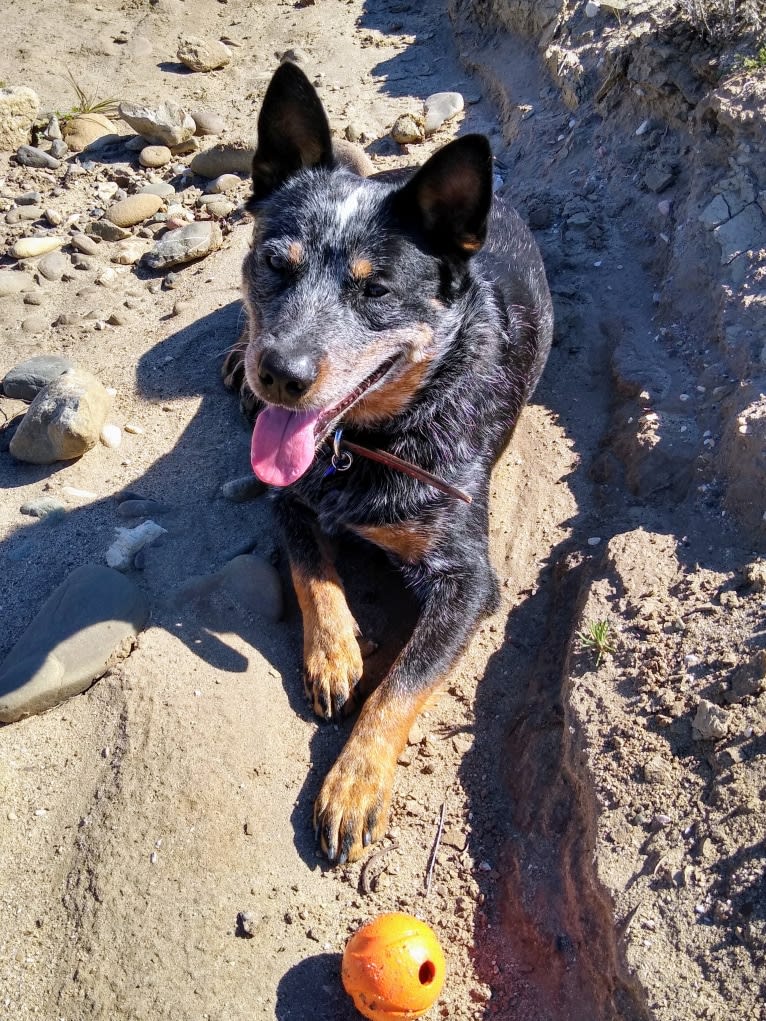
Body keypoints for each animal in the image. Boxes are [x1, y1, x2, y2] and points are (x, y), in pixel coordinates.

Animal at [224, 61, 555, 861]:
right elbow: (311, 567)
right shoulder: (289, 496)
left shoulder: (470, 579)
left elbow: (402, 683)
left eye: (373, 288)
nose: (278, 373)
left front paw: (353, 783)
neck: (371, 442)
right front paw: (335, 652)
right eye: (274, 265)